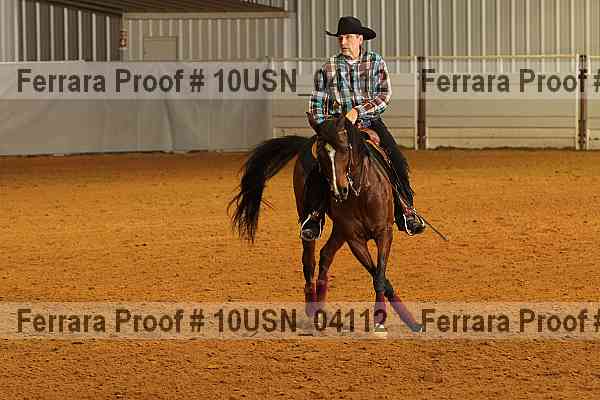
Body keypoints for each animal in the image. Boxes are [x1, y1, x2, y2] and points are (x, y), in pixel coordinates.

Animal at [228, 114, 422, 333]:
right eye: (321, 155)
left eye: (346, 149)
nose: (339, 190)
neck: (361, 191)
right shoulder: (354, 238)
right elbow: (376, 274)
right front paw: (383, 318)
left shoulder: (384, 232)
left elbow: (379, 273)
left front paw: (401, 320)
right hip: (311, 218)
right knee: (310, 260)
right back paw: (312, 308)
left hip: (339, 229)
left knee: (326, 255)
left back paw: (321, 311)